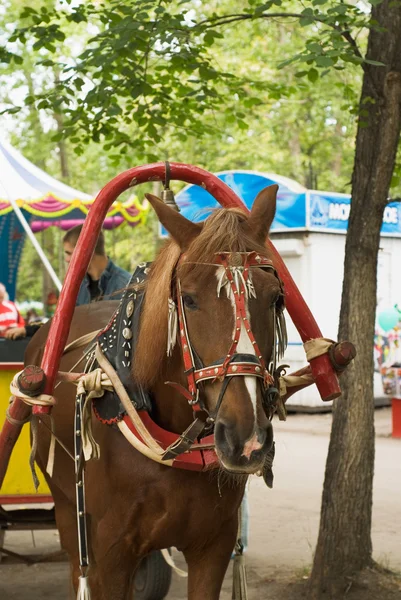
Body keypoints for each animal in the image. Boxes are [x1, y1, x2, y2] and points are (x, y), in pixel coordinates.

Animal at [25, 185, 282, 596]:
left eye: (276, 297)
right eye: (189, 298)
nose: (246, 439)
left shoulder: (214, 547)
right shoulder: (110, 556)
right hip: (66, 509)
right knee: (75, 565)